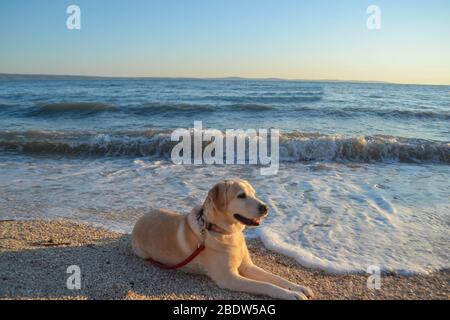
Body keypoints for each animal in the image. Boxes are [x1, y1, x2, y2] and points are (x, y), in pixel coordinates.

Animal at [131, 179, 312, 298]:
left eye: (254, 193)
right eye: (241, 195)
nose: (265, 207)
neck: (224, 232)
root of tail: (138, 221)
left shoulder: (247, 267)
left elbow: (276, 278)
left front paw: (298, 288)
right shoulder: (230, 279)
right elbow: (266, 285)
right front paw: (291, 295)